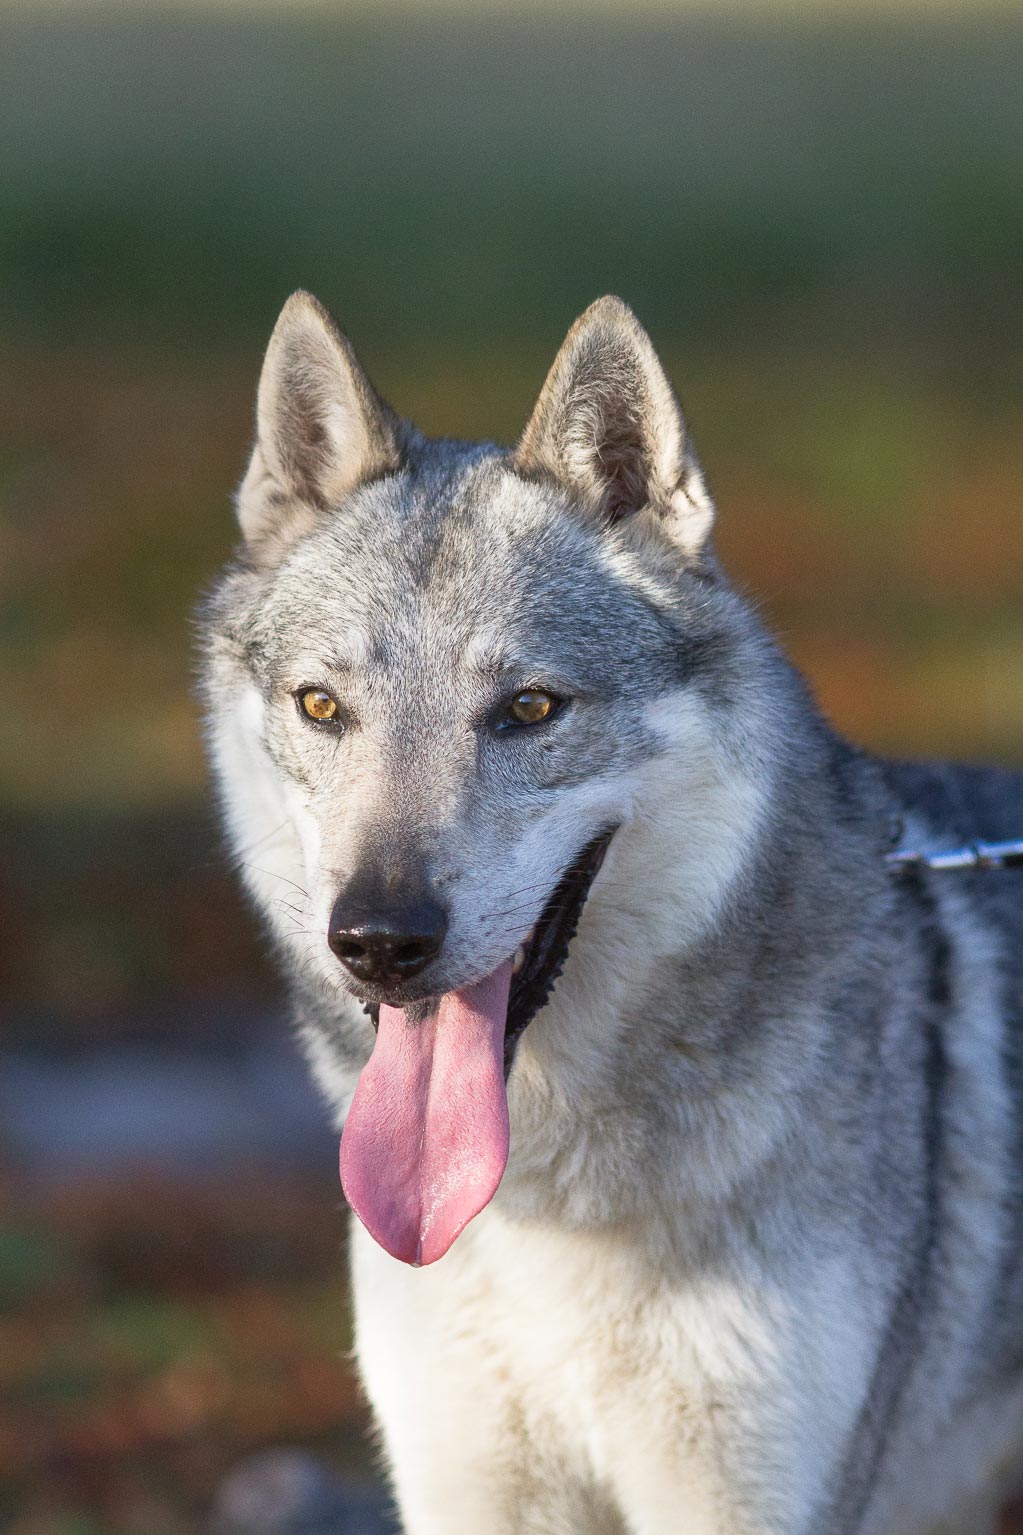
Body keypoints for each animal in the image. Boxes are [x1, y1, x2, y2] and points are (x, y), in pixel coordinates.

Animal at [201, 290, 1023, 1535]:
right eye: (321, 705)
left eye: (531, 708)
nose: (379, 940)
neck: (548, 1211)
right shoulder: (471, 1489)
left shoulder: (750, 1499)